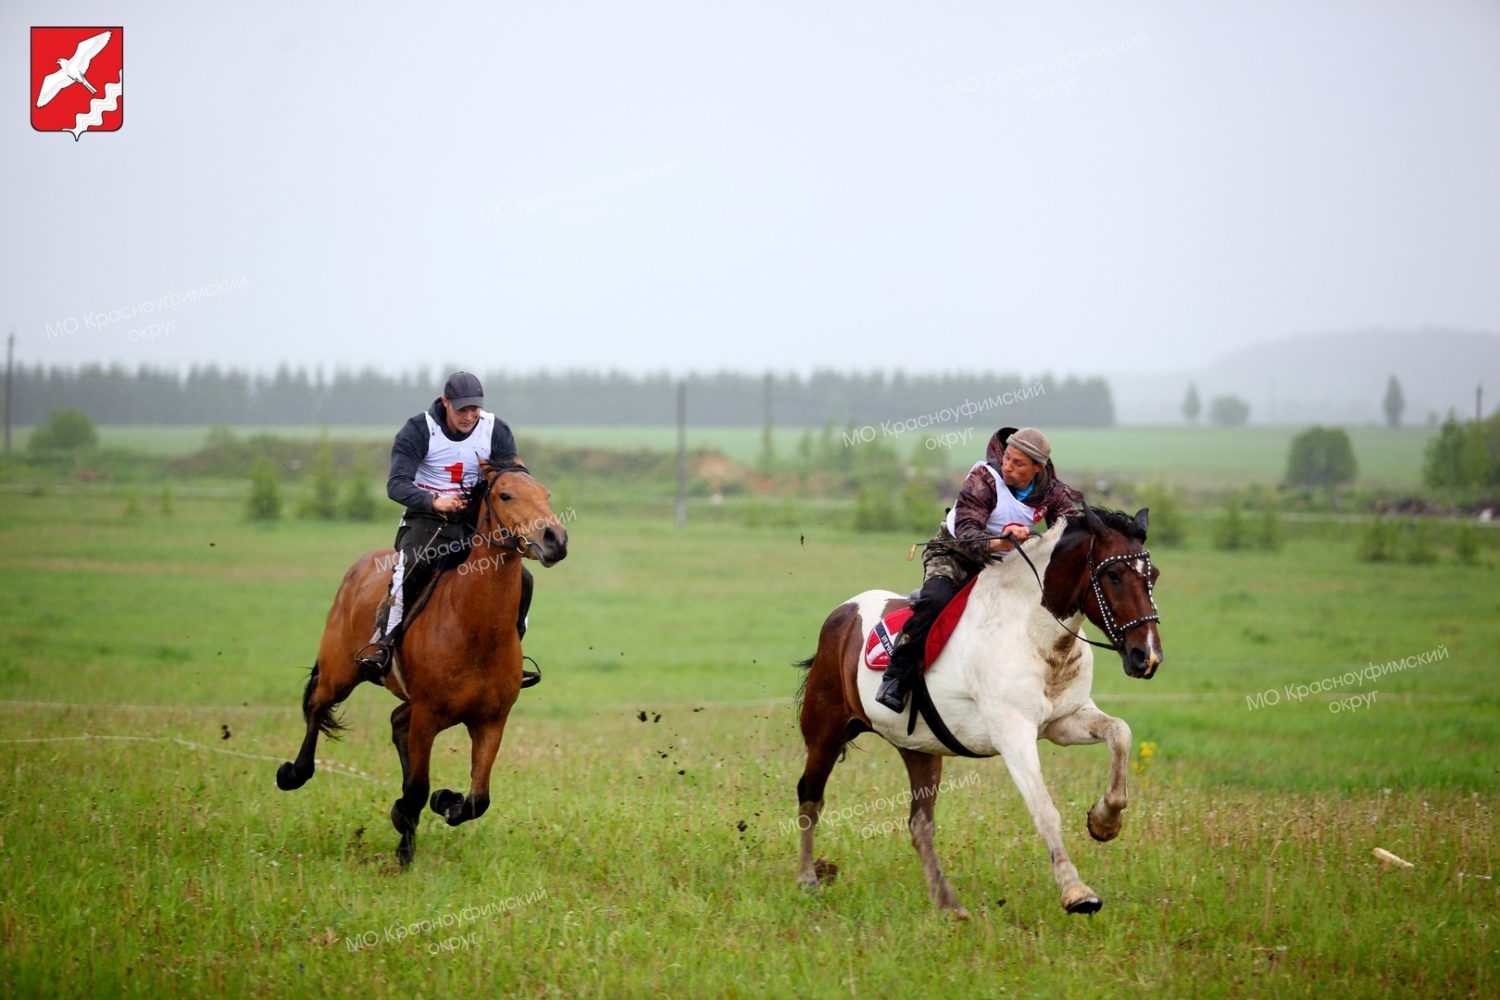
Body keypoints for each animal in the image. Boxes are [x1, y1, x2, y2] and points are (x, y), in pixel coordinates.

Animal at [276, 464, 567, 863]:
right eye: (505, 495)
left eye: (545, 494)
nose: (555, 539)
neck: (473, 627)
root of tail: (359, 568)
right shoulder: (428, 717)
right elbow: (417, 787)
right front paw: (405, 845)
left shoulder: (491, 721)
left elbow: (477, 800)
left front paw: (444, 801)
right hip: (342, 673)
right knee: (319, 704)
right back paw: (293, 773)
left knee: (396, 721)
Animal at [798, 509, 1158, 917]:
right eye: (1114, 576)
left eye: (1154, 576)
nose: (1146, 656)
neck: (1035, 634)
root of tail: (841, 615)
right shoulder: (1013, 733)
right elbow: (1044, 809)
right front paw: (1077, 892)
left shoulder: (1064, 722)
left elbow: (1121, 733)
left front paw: (1104, 822)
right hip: (825, 731)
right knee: (810, 796)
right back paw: (808, 879)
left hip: (919, 748)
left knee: (920, 824)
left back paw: (948, 904)